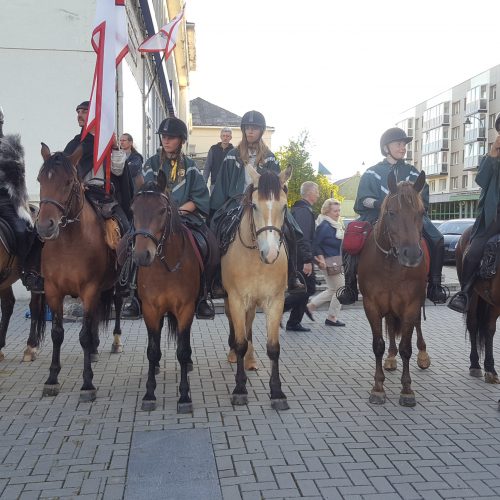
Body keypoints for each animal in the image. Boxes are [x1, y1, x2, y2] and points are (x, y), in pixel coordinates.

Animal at [36, 145, 124, 402]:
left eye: (68, 182)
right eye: (40, 179)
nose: (45, 226)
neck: (69, 244)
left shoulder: (90, 289)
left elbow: (83, 335)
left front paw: (87, 383)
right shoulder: (53, 291)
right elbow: (57, 333)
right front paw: (52, 379)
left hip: (116, 284)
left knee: (116, 304)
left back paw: (115, 342)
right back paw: (94, 350)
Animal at [130, 170, 202, 412]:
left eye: (162, 210)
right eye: (133, 210)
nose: (142, 255)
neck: (166, 266)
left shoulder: (186, 309)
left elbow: (182, 350)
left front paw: (185, 396)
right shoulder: (151, 310)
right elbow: (152, 351)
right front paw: (149, 394)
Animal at [223, 164, 292, 410]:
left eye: (284, 206)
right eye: (254, 205)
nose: (270, 254)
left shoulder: (276, 301)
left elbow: (273, 347)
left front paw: (277, 392)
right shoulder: (235, 299)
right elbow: (240, 342)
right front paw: (239, 388)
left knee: (249, 324)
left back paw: (251, 360)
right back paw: (235, 355)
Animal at [358, 168, 428, 406]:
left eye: (422, 212)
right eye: (391, 212)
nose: (412, 254)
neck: (390, 264)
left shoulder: (411, 305)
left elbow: (406, 347)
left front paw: (407, 390)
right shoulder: (371, 305)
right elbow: (377, 344)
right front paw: (378, 387)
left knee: (417, 325)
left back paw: (423, 355)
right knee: (389, 323)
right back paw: (390, 357)